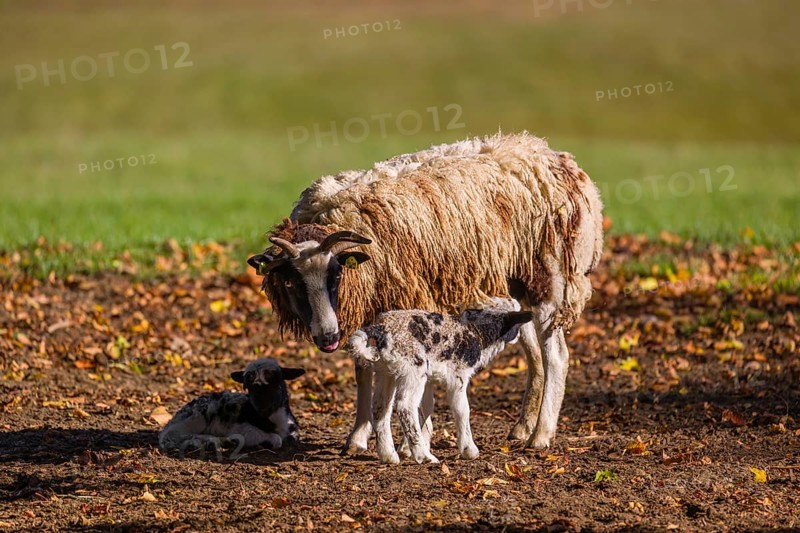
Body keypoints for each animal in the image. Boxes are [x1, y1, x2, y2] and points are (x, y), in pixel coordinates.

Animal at [158, 359, 305, 458]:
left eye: (273, 375)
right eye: (247, 381)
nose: (257, 385)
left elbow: (292, 437)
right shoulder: (241, 428)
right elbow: (276, 439)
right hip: (197, 416)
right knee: (169, 434)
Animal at [348, 299, 533, 464]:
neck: (478, 331)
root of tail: (382, 328)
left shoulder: (429, 381)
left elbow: (427, 408)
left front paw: (411, 447)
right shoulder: (458, 377)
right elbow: (462, 410)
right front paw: (469, 450)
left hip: (386, 371)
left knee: (381, 408)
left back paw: (389, 456)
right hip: (413, 369)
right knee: (405, 406)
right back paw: (424, 456)